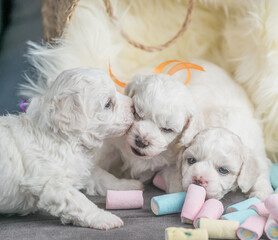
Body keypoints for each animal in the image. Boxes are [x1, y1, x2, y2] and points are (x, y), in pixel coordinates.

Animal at [0, 66, 141, 230]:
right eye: (108, 104)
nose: (134, 107)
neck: (63, 138)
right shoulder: (52, 184)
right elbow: (80, 201)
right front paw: (104, 217)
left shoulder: (83, 167)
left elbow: (103, 177)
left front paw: (127, 184)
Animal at [163, 60, 274, 201]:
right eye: (191, 160)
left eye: (223, 170)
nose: (198, 179)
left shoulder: (258, 152)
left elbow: (261, 174)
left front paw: (261, 195)